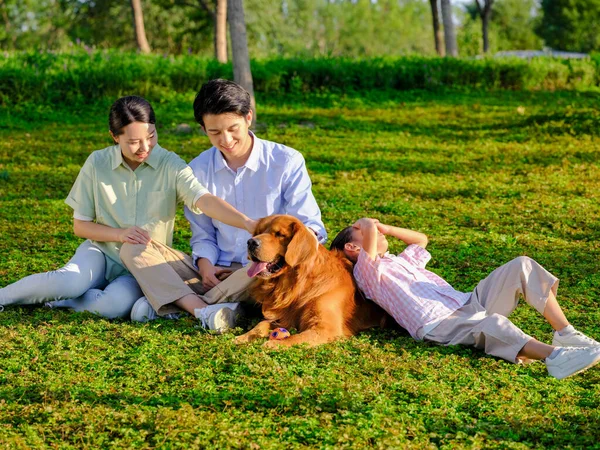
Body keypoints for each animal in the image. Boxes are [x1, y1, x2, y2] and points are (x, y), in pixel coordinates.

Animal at [234, 214, 390, 348]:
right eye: (258, 232)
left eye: (279, 234)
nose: (251, 242)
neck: (299, 285)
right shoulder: (287, 317)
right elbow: (262, 324)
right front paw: (243, 337)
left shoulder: (326, 329)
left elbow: (296, 338)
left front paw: (273, 344)